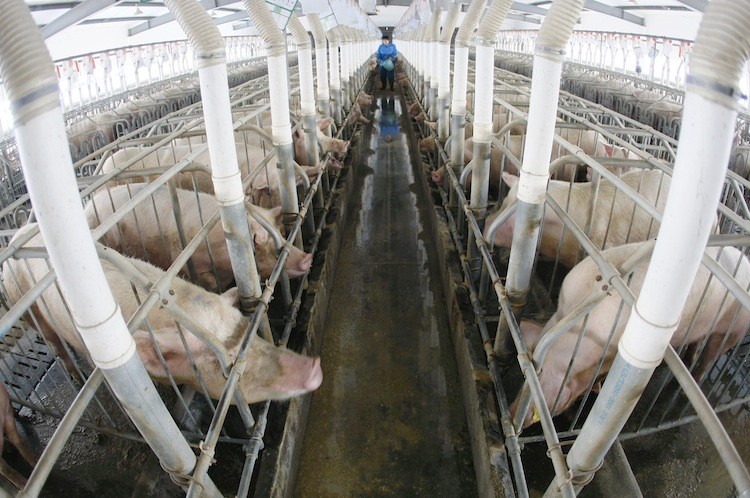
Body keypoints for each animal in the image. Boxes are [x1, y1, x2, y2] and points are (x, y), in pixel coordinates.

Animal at [3, 225, 326, 404]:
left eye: (247, 328)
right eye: (224, 362)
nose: (314, 366)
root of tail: (15, 235)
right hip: (29, 309)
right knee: (54, 342)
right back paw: (74, 375)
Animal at [83, 185, 312, 290]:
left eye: (281, 233)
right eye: (262, 242)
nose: (307, 258)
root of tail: (89, 204)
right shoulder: (189, 265)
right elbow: (210, 285)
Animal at [512, 243, 750, 426]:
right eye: (525, 378)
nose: (514, 415)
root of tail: (745, 260)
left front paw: (598, 388)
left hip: (734, 329)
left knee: (711, 355)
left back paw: (687, 389)